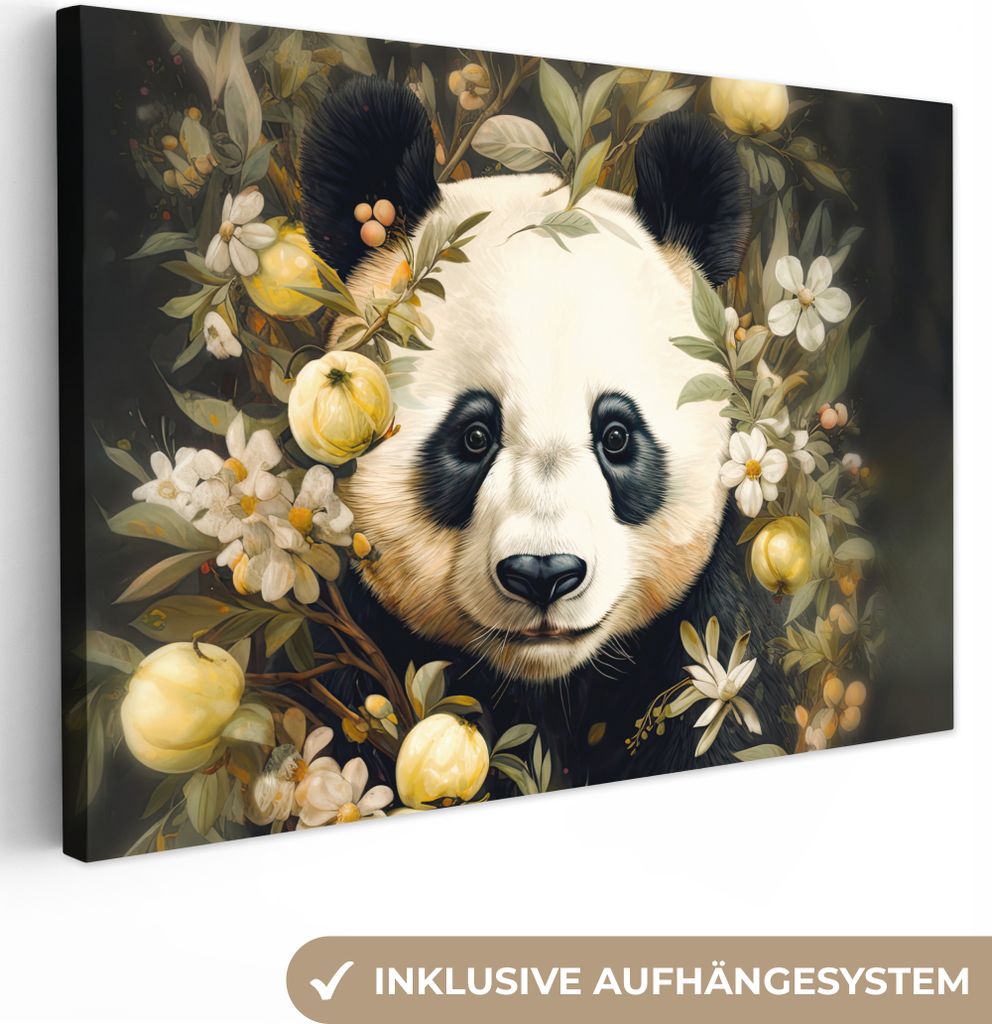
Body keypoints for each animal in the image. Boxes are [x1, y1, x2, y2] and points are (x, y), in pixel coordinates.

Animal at [298, 75, 791, 788]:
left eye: (616, 436)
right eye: (474, 437)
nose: (543, 574)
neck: (547, 691)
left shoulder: (711, 649)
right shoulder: (354, 651)